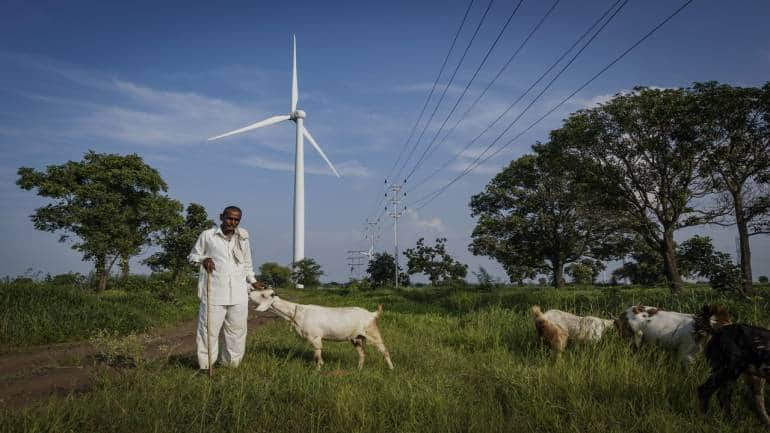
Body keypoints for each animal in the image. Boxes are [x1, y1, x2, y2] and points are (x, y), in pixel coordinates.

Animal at [249, 288, 392, 370]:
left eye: (263, 295)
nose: (249, 292)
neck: (296, 312)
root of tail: (372, 314)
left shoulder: (315, 337)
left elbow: (317, 355)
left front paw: (317, 370)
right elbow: (318, 355)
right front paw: (322, 365)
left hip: (372, 333)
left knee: (385, 351)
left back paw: (391, 369)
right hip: (356, 339)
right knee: (362, 354)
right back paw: (359, 369)